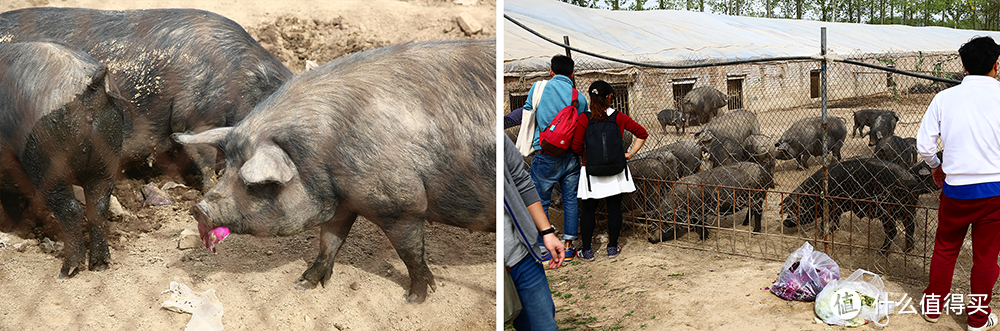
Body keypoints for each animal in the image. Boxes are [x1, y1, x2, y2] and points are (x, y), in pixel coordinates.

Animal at [0, 41, 130, 280]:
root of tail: (90, 86)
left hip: (46, 159)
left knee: (70, 209)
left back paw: (67, 270)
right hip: (109, 155)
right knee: (98, 206)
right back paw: (99, 264)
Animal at [178, 39, 498, 304]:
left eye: (254, 184)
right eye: (227, 168)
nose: (199, 208)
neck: (323, 149)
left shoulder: (402, 206)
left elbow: (410, 253)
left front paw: (413, 299)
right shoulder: (344, 201)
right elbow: (329, 241)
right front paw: (303, 284)